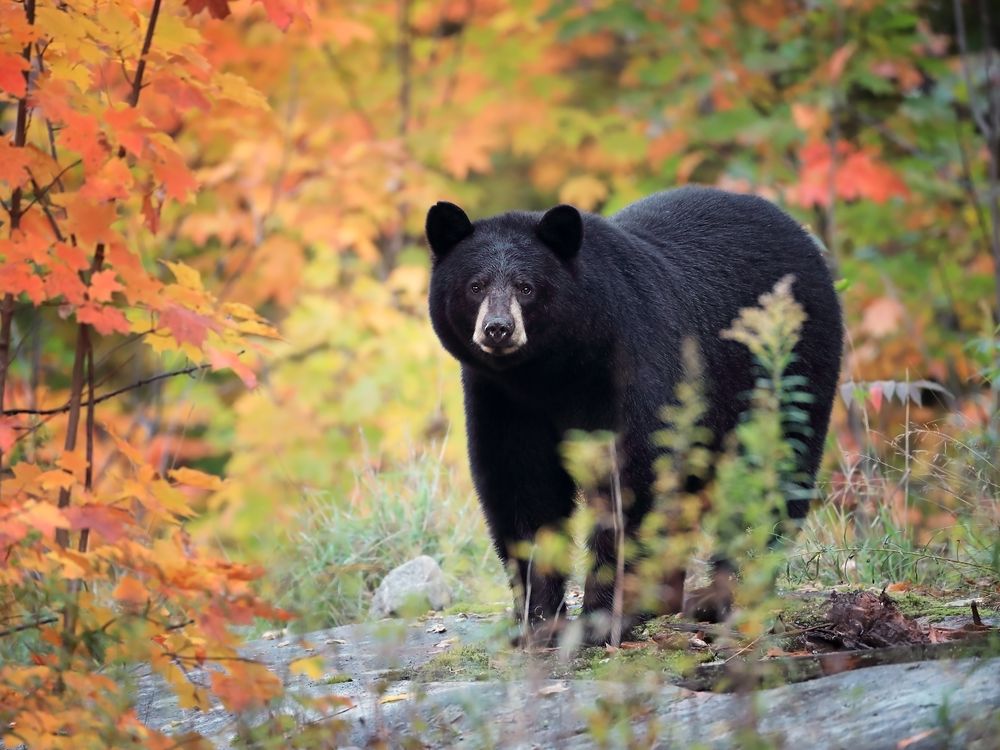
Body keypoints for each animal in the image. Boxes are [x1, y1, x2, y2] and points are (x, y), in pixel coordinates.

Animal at [424, 187, 844, 648]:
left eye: (526, 287)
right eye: (475, 286)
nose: (498, 329)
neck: (552, 370)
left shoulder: (635, 362)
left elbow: (635, 477)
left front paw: (603, 616)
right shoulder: (501, 398)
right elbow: (521, 486)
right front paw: (537, 619)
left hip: (787, 369)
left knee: (773, 470)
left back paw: (729, 594)